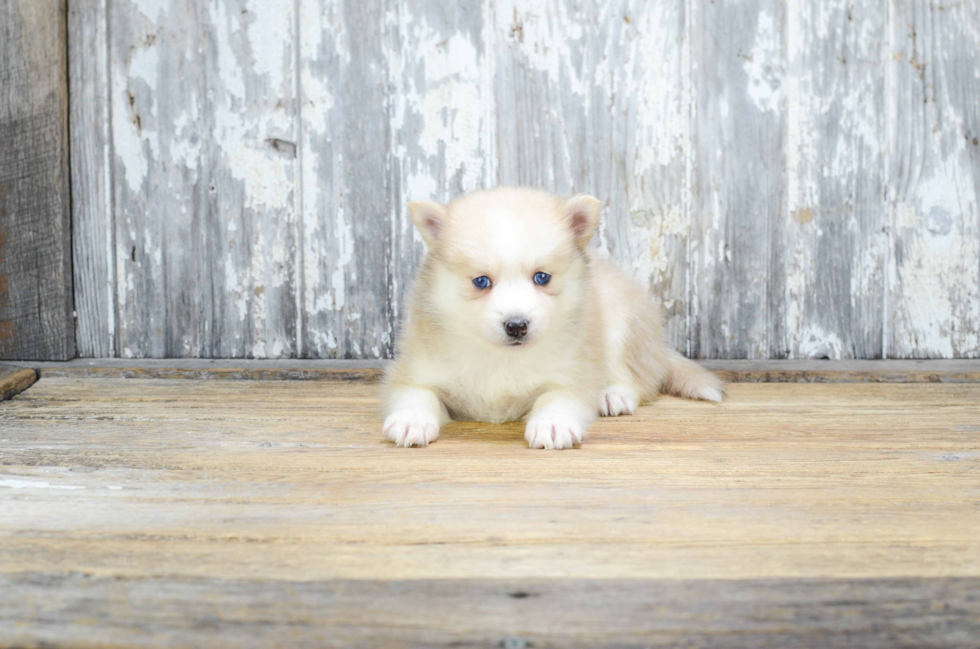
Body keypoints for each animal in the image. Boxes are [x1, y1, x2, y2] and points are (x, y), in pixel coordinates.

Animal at [382, 185, 728, 448]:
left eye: (542, 277)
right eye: (481, 281)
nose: (517, 325)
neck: (502, 359)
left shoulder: (574, 373)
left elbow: (557, 397)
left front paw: (552, 424)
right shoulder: (413, 368)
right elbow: (417, 393)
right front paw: (412, 419)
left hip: (622, 323)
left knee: (640, 378)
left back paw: (614, 394)